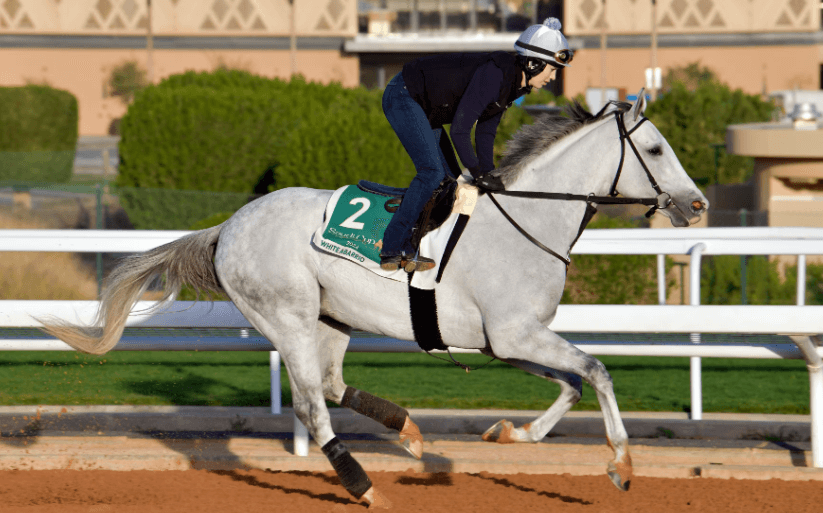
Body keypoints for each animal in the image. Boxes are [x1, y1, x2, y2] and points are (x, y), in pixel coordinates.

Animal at [42, 91, 707, 508]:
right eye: (655, 150)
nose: (697, 203)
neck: (526, 221)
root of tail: (229, 226)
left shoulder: (503, 340)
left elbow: (572, 384)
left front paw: (509, 435)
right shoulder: (515, 333)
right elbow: (597, 371)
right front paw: (621, 464)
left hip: (332, 317)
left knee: (332, 384)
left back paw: (408, 431)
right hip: (286, 316)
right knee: (312, 406)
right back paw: (365, 487)